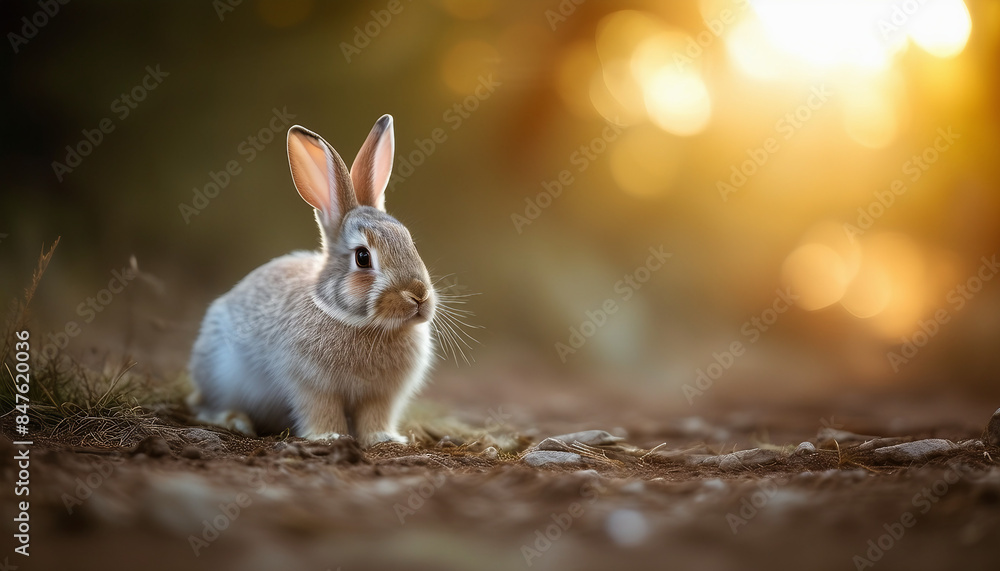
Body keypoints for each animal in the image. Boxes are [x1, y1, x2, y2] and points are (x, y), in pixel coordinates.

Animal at [187, 115, 436, 447]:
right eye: (363, 257)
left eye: (409, 242)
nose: (418, 295)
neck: (362, 323)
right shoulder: (310, 385)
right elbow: (320, 409)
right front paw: (330, 436)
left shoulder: (380, 397)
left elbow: (375, 417)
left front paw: (384, 438)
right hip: (218, 371)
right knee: (206, 406)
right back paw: (233, 420)